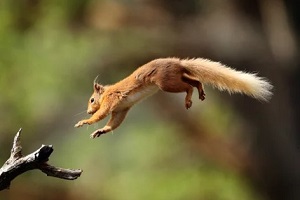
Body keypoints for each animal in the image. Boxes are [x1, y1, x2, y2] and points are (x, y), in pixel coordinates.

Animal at [74, 57, 272, 138]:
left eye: (92, 100)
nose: (88, 110)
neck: (108, 91)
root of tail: (178, 63)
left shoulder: (111, 100)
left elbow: (102, 114)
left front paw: (85, 122)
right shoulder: (121, 109)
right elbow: (113, 123)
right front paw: (101, 131)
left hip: (166, 82)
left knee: (188, 86)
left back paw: (189, 99)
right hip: (176, 77)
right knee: (195, 80)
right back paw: (200, 92)